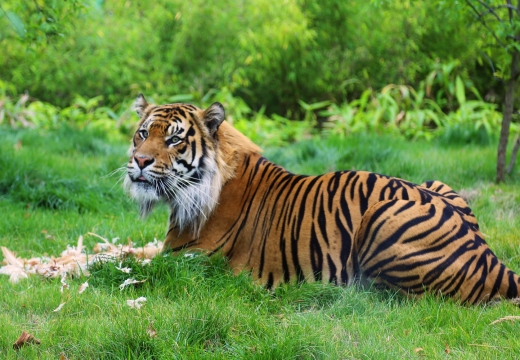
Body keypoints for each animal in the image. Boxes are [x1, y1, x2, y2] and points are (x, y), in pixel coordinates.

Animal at [126, 95, 520, 304]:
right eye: (142, 134)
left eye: (174, 140)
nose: (140, 161)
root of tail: (489, 256)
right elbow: (132, 249)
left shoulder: (186, 259)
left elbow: (128, 263)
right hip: (436, 183)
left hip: (382, 216)